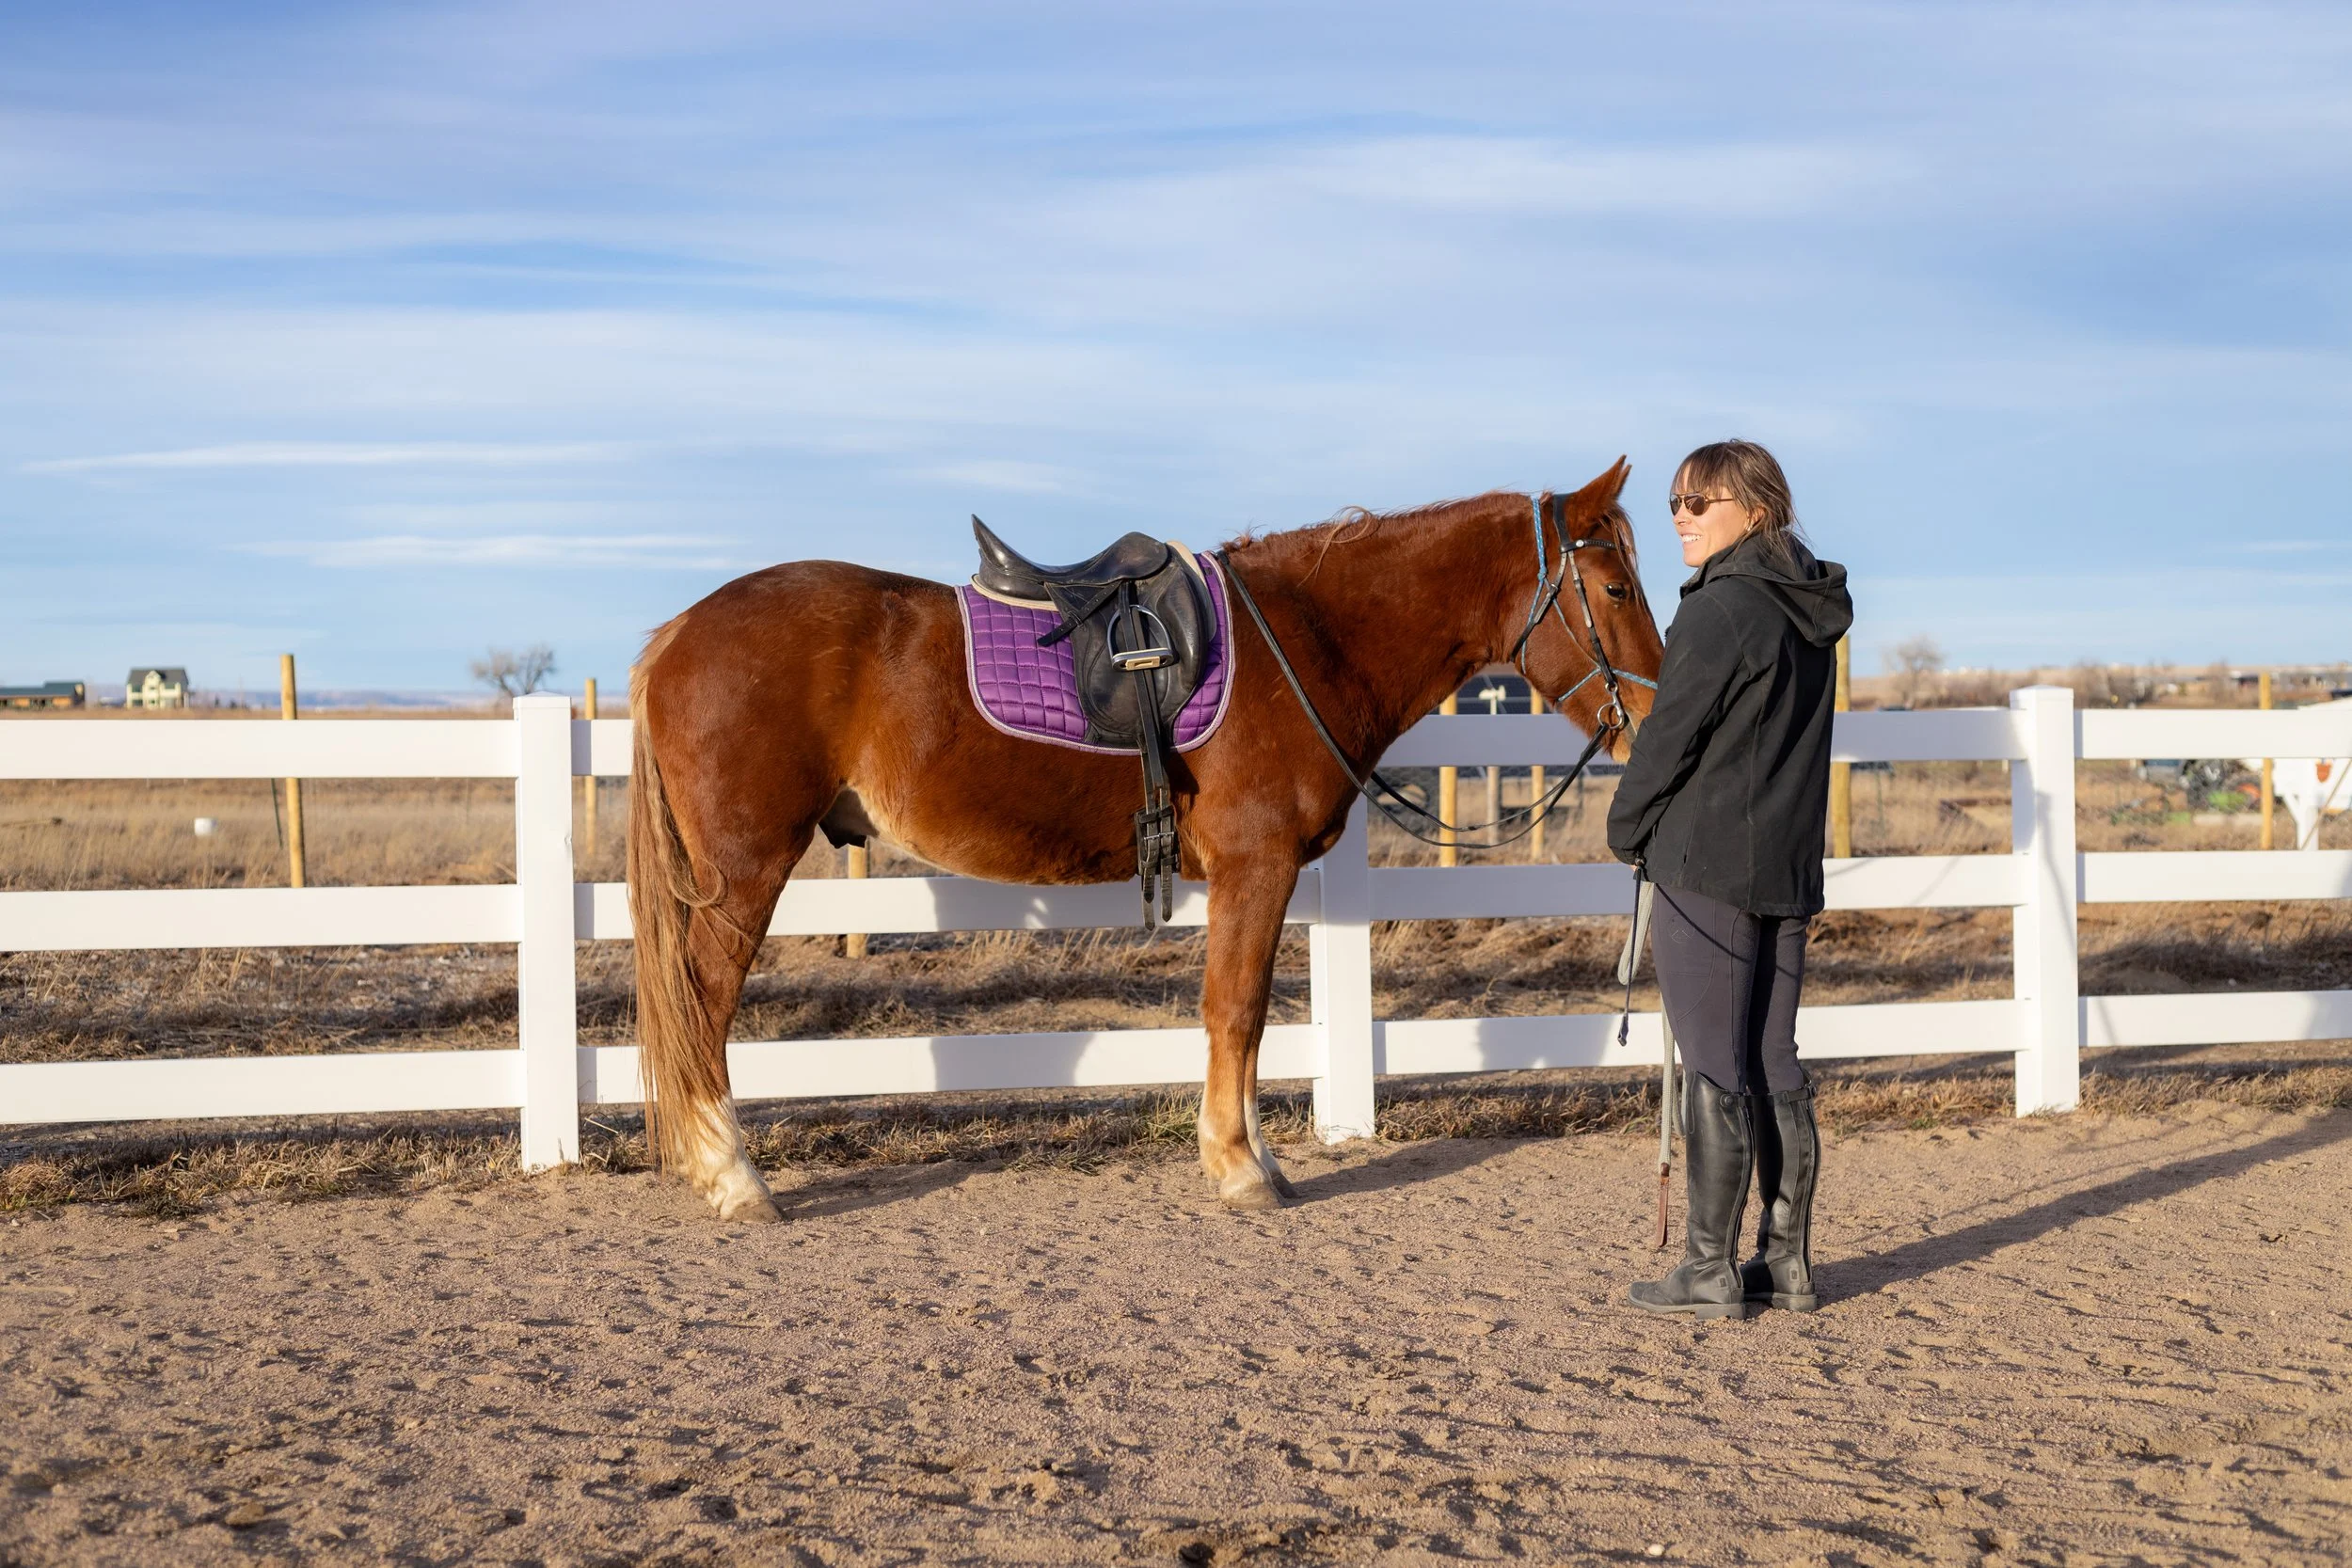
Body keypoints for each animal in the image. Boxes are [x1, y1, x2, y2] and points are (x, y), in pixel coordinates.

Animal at [627, 460, 1666, 1220]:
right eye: (1615, 586)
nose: (1652, 726)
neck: (1308, 638)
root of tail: (675, 632)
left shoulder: (1258, 876)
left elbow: (1247, 1016)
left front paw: (1259, 1157)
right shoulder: (1256, 865)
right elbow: (1235, 1011)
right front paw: (1240, 1168)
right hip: (746, 872)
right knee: (702, 1006)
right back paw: (736, 1179)